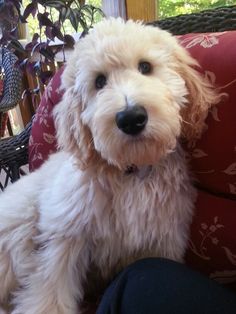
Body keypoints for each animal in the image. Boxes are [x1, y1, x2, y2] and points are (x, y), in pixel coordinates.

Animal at [0, 18, 220, 312]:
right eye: (99, 81)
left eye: (145, 67)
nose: (131, 118)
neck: (130, 170)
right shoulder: (63, 236)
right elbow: (49, 292)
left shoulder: (162, 240)